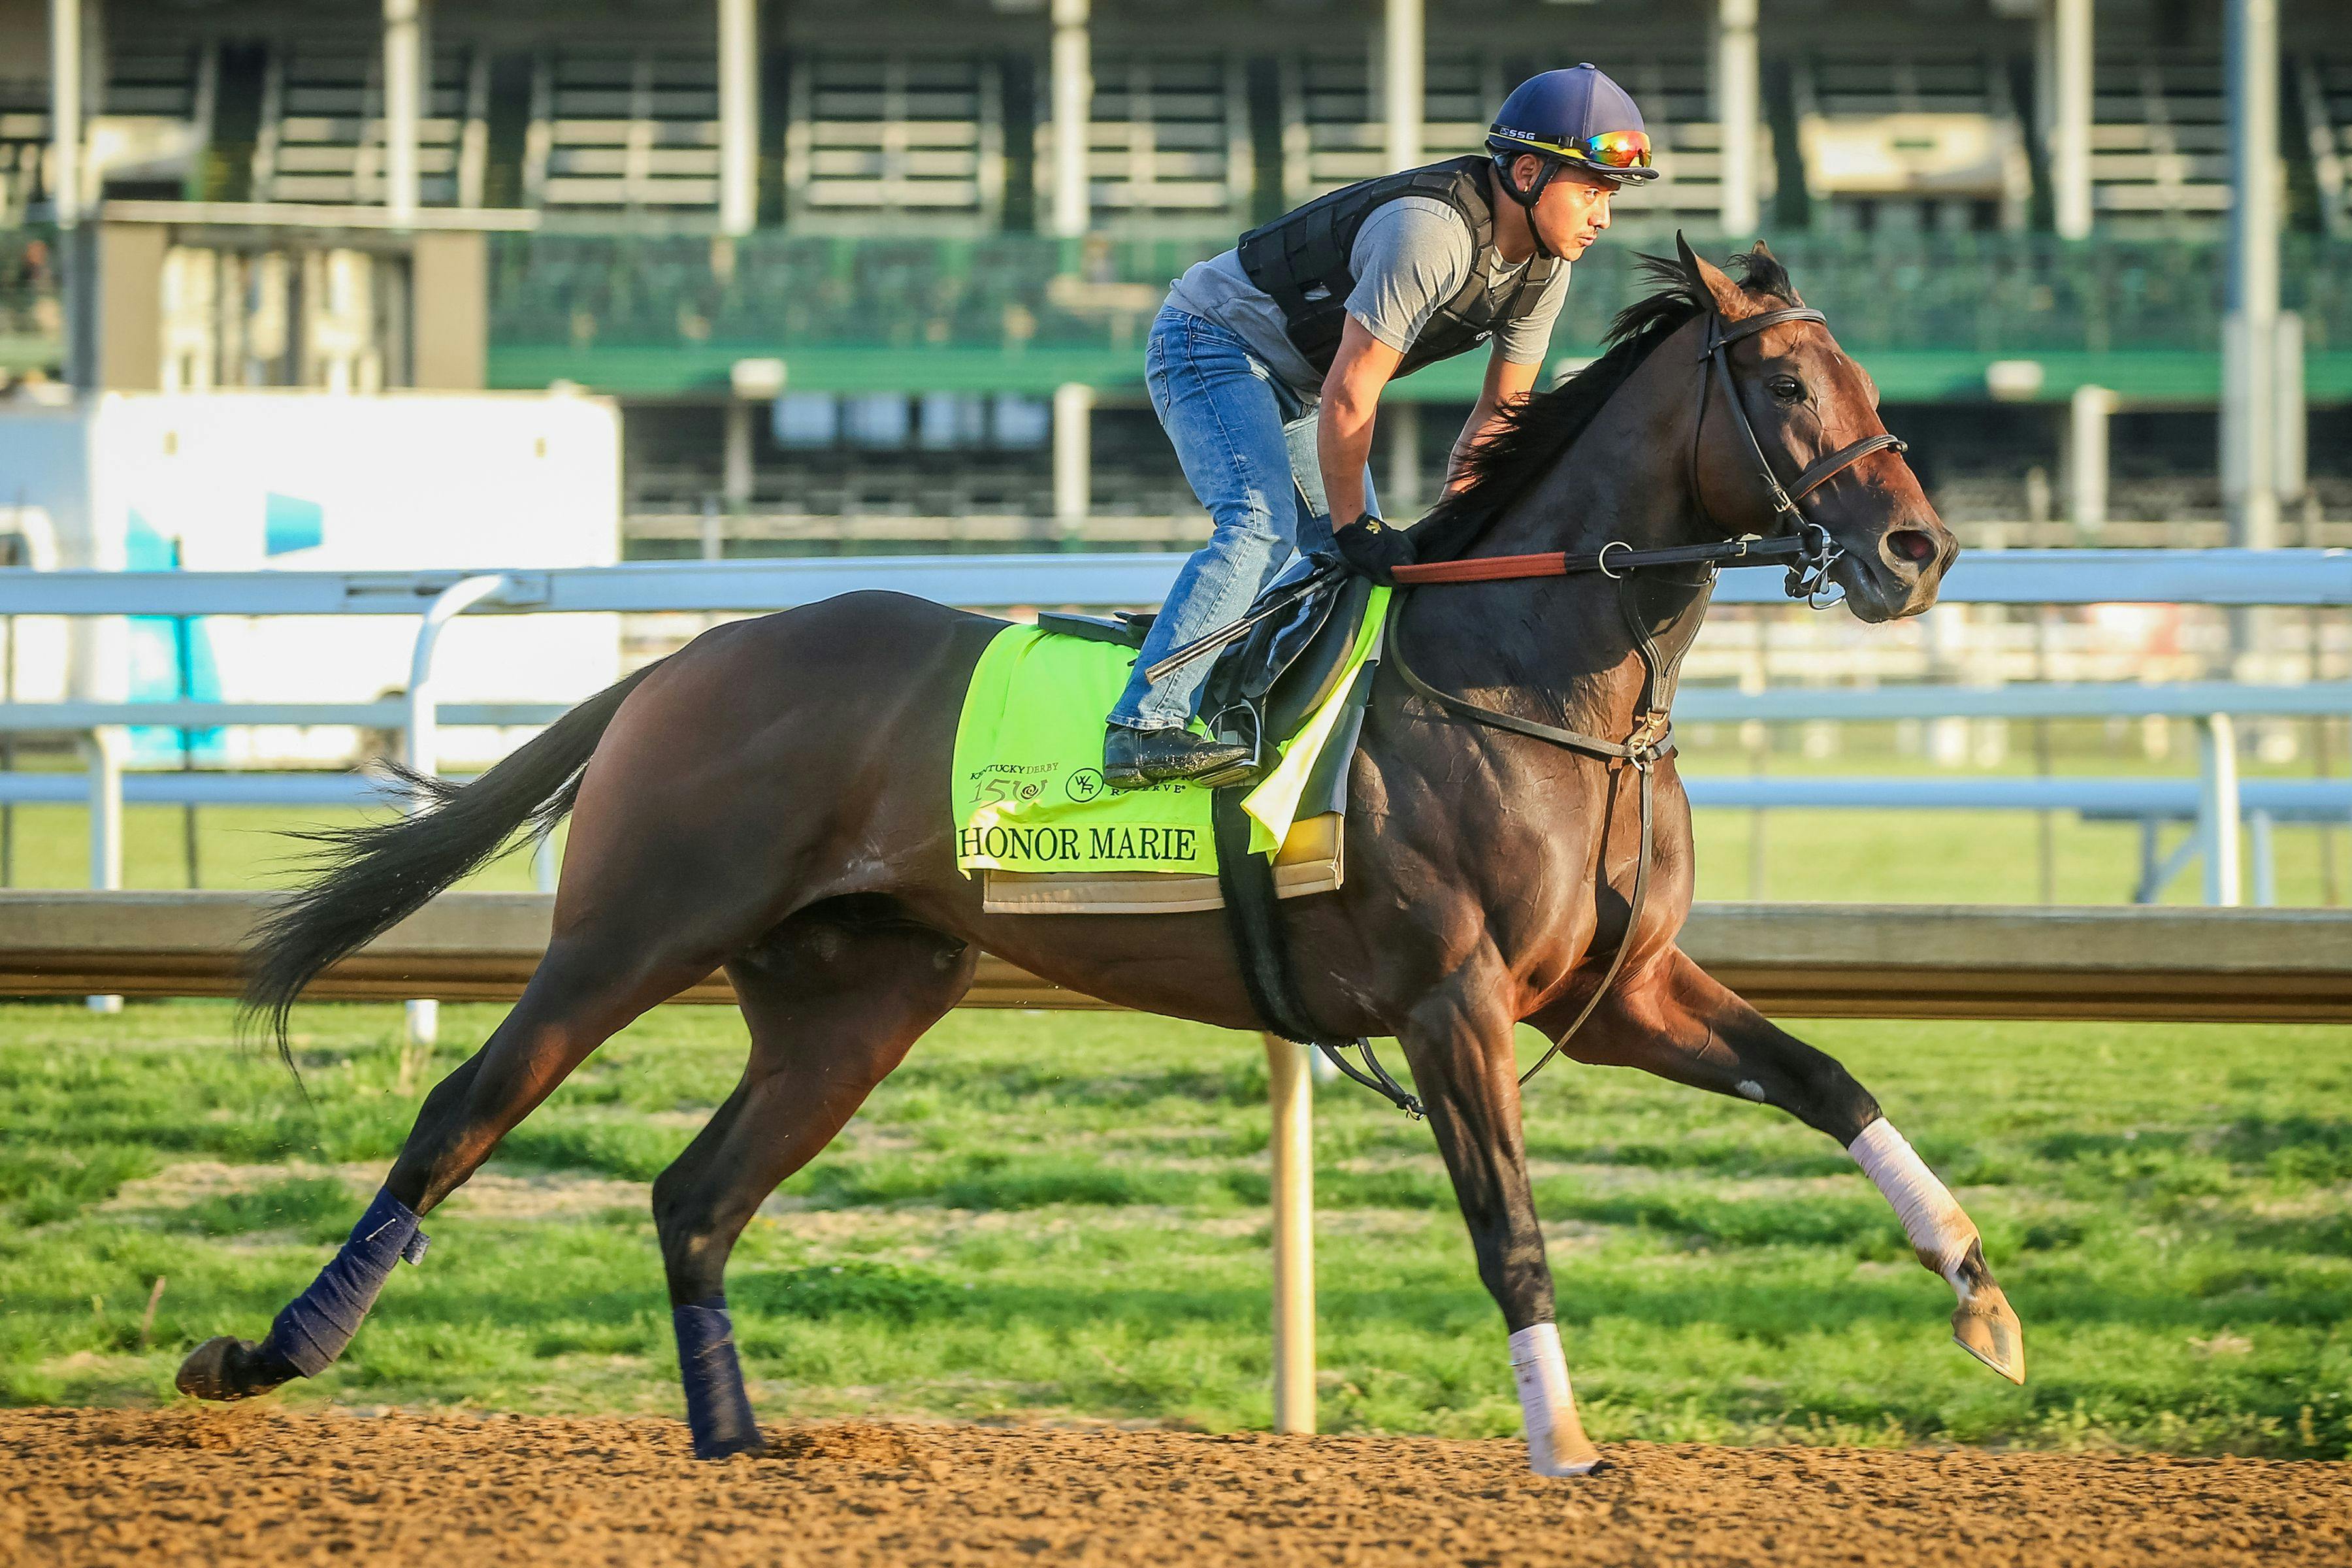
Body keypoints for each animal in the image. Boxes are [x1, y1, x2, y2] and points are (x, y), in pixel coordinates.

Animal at [188, 240, 2023, 1476]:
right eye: (1787, 384)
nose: (1916, 548)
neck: (1533, 664)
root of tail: (683, 658)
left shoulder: (1623, 986)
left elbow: (1832, 1078)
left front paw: (1979, 1294)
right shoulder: (1452, 1002)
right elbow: (1508, 1226)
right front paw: (1564, 1443)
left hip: (857, 995)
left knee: (697, 1196)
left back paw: (738, 1443)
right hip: (633, 929)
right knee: (463, 1110)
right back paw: (268, 1352)